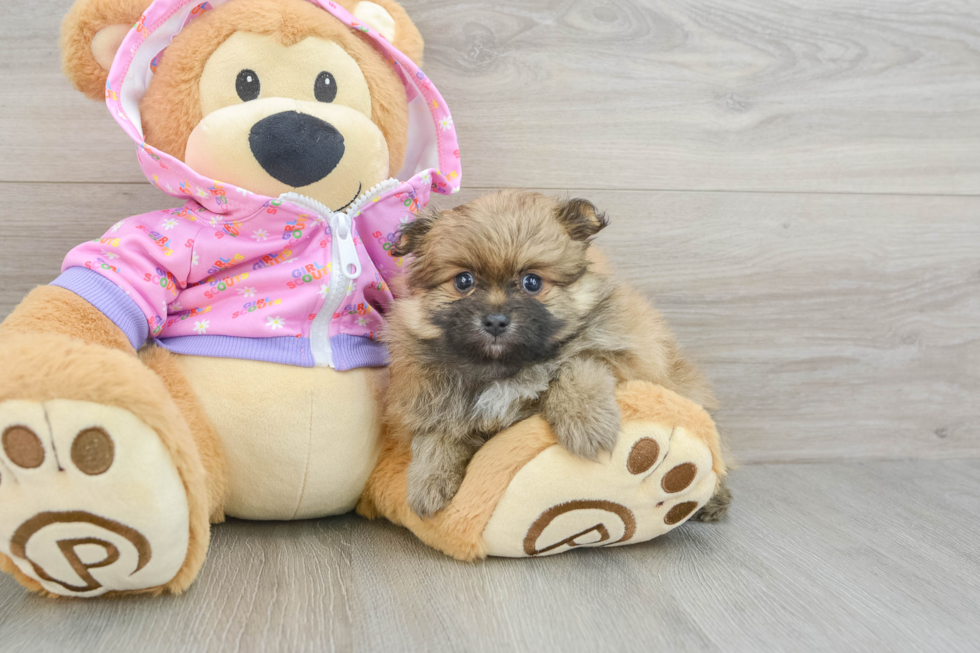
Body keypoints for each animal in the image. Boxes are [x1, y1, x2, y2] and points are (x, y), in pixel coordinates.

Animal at [382, 190, 728, 520]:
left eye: (532, 282)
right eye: (463, 280)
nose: (495, 321)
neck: (504, 367)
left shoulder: (622, 355)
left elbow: (577, 363)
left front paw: (585, 424)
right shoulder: (434, 399)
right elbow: (436, 435)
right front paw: (428, 483)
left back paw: (713, 499)